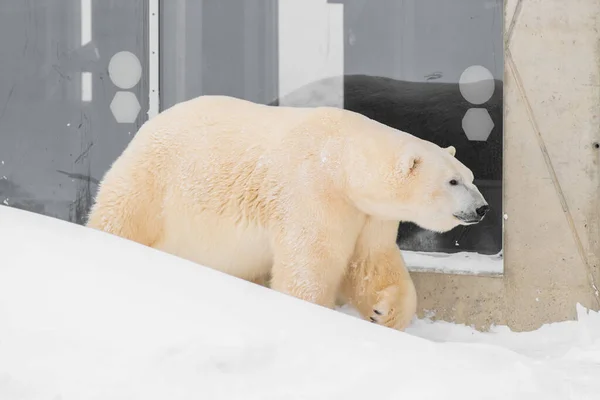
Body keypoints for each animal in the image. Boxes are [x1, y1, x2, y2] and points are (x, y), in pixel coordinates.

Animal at [86, 94, 490, 332]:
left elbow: (371, 263)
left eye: (470, 176)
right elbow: (311, 262)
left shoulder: (367, 215)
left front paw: (382, 310)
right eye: (453, 181)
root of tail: (149, 123)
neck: (343, 159)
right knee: (122, 214)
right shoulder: (314, 191)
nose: (483, 208)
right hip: (155, 179)